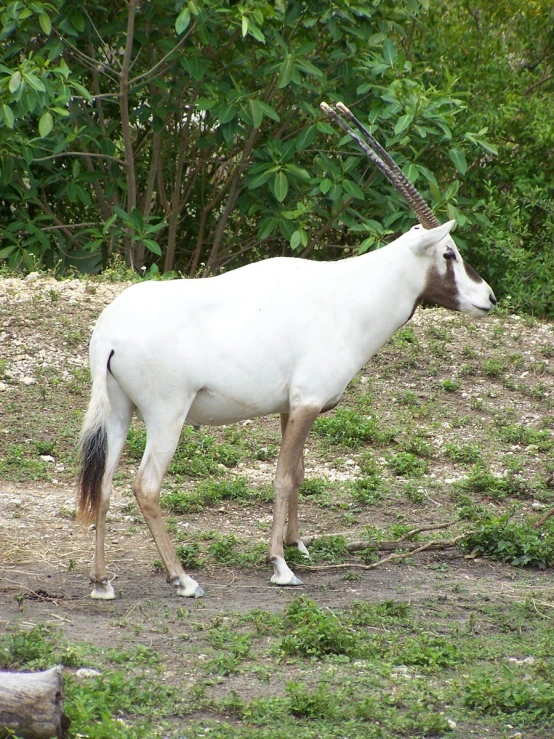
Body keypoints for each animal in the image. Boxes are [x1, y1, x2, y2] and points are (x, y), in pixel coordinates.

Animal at [77, 102, 496, 600]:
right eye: (449, 253)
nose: (489, 297)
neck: (347, 294)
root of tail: (109, 333)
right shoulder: (308, 402)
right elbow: (280, 475)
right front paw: (279, 564)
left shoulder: (289, 407)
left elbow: (298, 473)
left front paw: (297, 544)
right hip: (167, 414)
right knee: (146, 485)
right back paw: (183, 578)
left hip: (119, 411)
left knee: (102, 485)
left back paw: (102, 581)